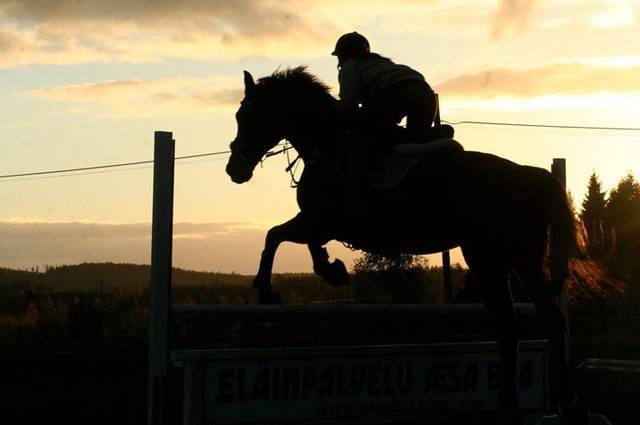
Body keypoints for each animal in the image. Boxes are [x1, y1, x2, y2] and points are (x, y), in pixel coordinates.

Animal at [225, 66, 584, 420]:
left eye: (248, 114)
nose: (234, 170)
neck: (326, 145)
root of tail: (530, 174)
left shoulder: (325, 220)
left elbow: (278, 237)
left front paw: (274, 288)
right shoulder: (320, 222)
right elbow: (286, 238)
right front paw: (329, 270)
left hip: (500, 256)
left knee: (529, 321)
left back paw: (540, 403)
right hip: (505, 258)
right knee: (527, 322)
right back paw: (533, 402)